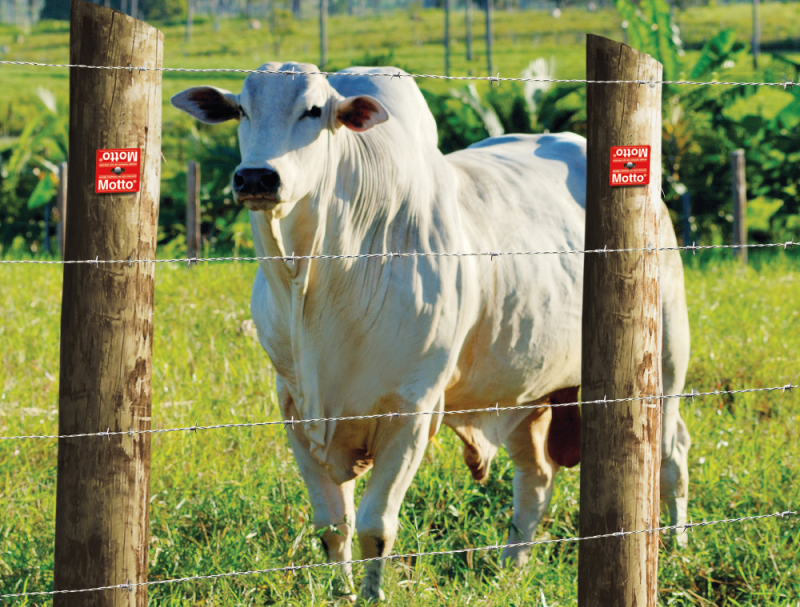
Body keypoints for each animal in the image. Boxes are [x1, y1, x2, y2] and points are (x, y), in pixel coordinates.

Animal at [172, 64, 692, 600]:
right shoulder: (295, 410)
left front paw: (372, 596)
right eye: (241, 110)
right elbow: (332, 527)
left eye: (314, 110)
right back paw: (511, 567)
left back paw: (675, 547)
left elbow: (375, 527)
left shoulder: (412, 412)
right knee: (536, 477)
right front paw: (342, 593)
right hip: (526, 393)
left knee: (672, 452)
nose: (257, 176)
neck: (313, 281)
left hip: (666, 359)